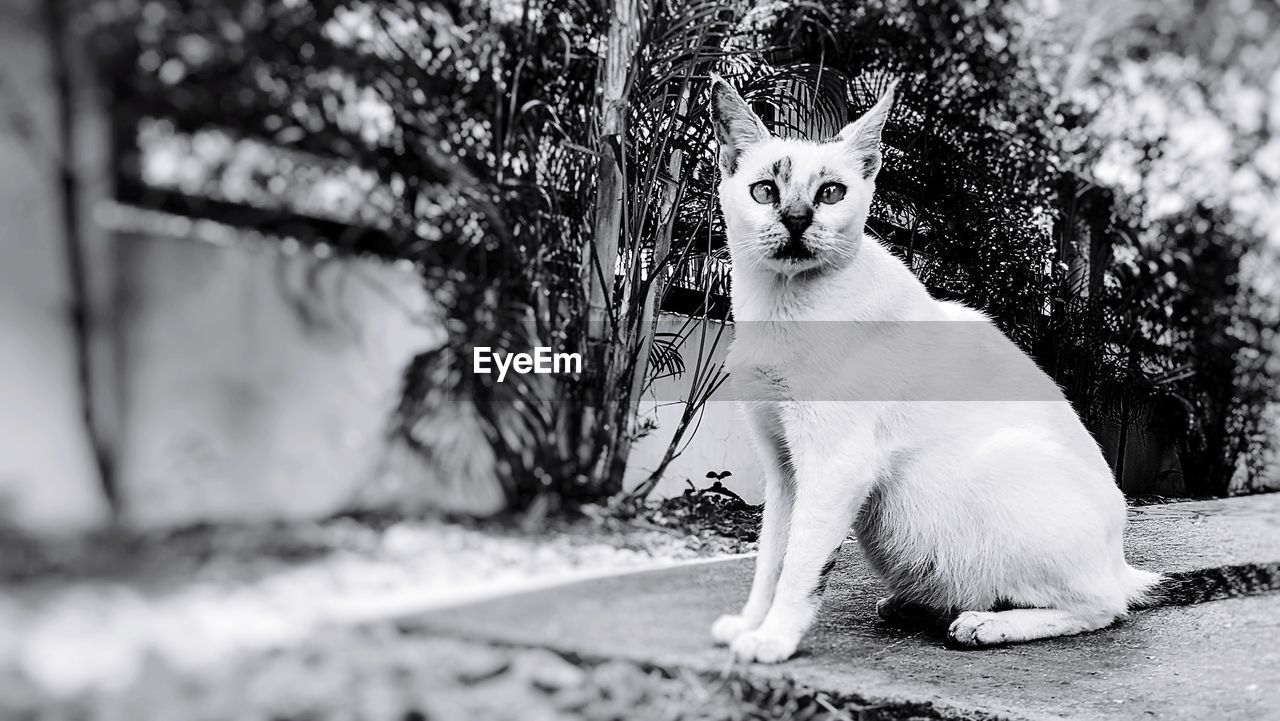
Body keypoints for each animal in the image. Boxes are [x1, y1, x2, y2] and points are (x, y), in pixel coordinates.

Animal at [706, 77, 1167, 665]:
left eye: (830, 193)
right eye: (765, 191)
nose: (796, 218)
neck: (782, 309)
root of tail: (1120, 561)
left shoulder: (835, 465)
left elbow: (802, 563)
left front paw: (775, 638)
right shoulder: (784, 467)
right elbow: (771, 558)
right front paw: (751, 623)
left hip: (998, 473)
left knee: (1102, 606)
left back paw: (987, 624)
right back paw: (913, 605)